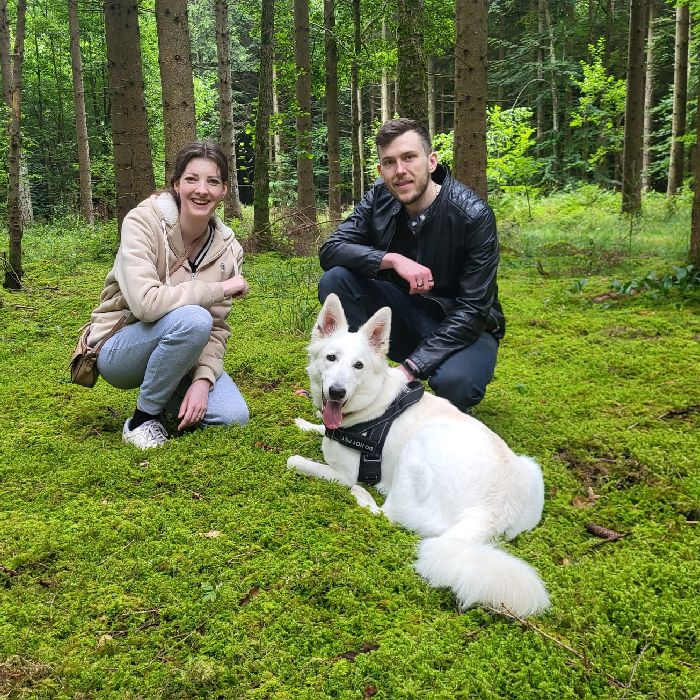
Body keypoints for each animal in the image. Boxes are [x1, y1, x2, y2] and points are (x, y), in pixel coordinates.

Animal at [288, 293, 550, 617]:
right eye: (331, 358)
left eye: (358, 365)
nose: (337, 392)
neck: (370, 404)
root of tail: (492, 512)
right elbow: (318, 428)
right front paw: (306, 424)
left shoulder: (344, 473)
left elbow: (297, 461)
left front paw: (303, 457)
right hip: (530, 465)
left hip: (420, 445)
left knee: (387, 514)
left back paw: (363, 495)